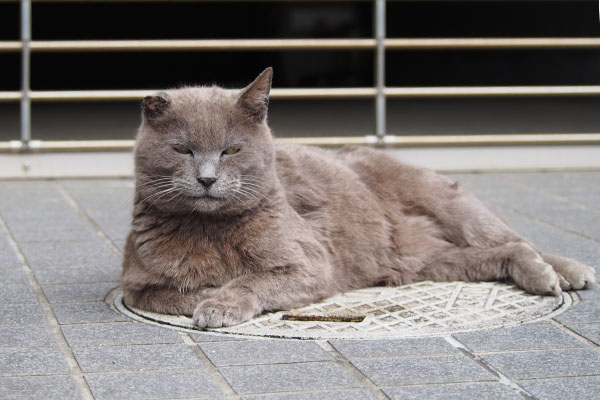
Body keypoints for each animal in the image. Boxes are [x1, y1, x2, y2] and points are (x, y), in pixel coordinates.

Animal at [122, 67, 596, 328]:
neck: (209, 231)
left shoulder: (313, 264)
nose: (206, 178)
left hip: (452, 208)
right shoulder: (136, 286)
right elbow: (168, 295)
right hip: (424, 262)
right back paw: (537, 274)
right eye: (182, 150)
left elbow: (251, 280)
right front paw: (207, 296)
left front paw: (219, 303)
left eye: (231, 150)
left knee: (519, 239)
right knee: (501, 252)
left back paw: (564, 272)